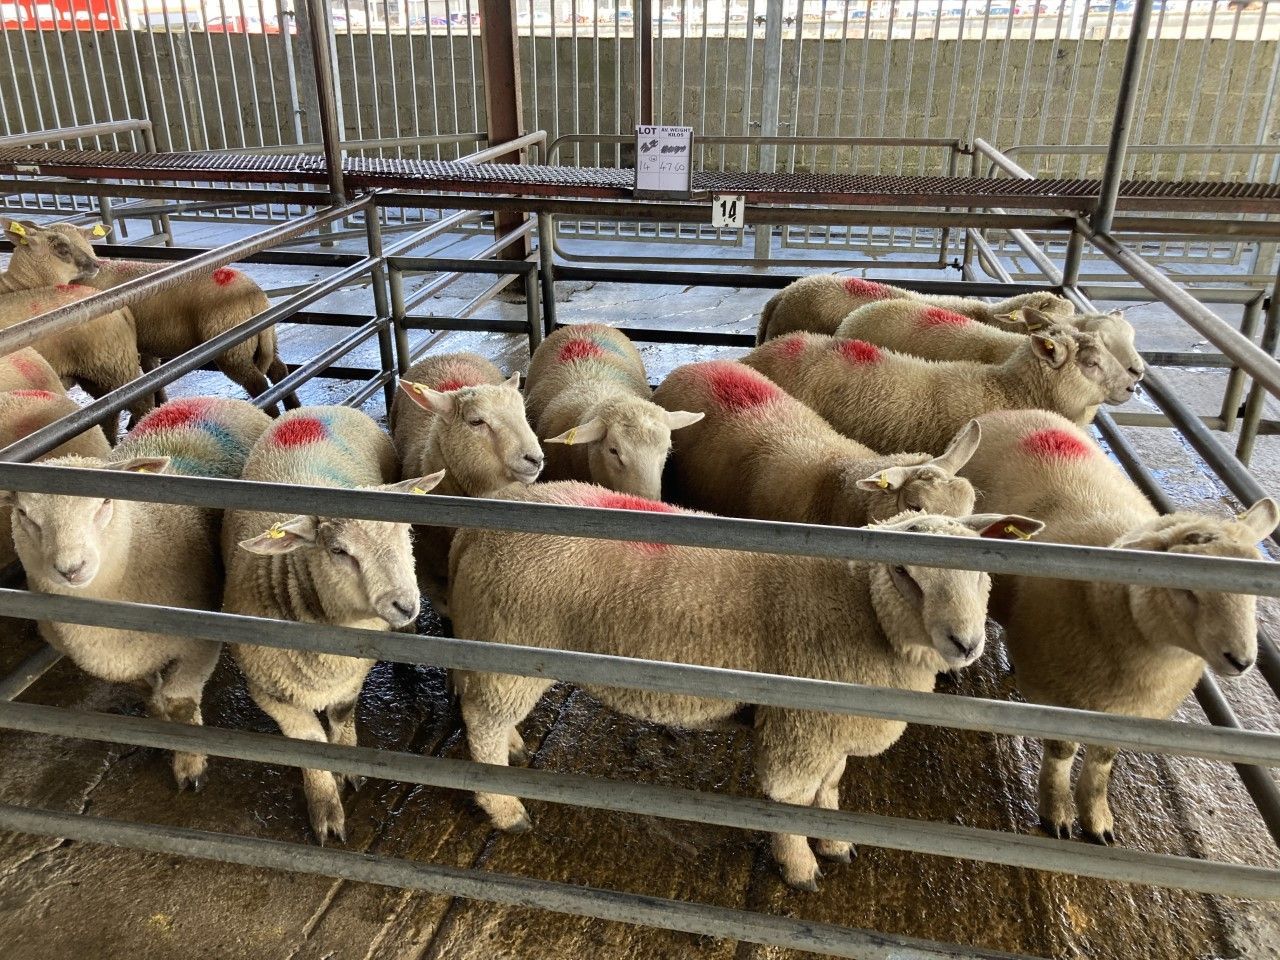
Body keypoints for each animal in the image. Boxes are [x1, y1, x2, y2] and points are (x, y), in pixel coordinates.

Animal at [2, 217, 297, 414]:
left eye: (84, 243)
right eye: (62, 248)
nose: (94, 265)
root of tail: (254, 294)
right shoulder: (144, 346)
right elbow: (153, 380)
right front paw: (157, 407)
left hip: (232, 346)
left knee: (258, 383)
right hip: (263, 339)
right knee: (279, 370)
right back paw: (293, 406)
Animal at [2, 396, 273, 790]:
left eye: (104, 502)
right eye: (23, 514)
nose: (71, 568)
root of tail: (207, 398)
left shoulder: (199, 643)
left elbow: (178, 702)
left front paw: (190, 764)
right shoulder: (126, 659)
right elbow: (151, 696)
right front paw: (162, 737)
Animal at [223, 405, 442, 843]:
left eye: (407, 532)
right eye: (340, 551)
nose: (406, 605)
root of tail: (313, 408)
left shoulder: (351, 678)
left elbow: (341, 718)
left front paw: (346, 769)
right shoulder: (268, 692)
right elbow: (309, 742)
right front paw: (325, 807)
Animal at [449, 479, 1043, 889]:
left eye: (985, 569)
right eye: (904, 572)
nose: (967, 643)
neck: (860, 609)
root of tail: (474, 526)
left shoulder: (830, 729)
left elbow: (829, 788)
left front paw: (834, 843)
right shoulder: (801, 727)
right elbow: (790, 799)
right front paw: (801, 869)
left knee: (487, 714)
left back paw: (515, 753)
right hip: (508, 646)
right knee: (481, 725)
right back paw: (505, 809)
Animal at [959, 409, 1279, 844]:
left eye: (1256, 590)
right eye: (1186, 588)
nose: (1242, 660)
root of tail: (1014, 412)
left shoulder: (1130, 714)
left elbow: (1102, 762)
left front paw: (1097, 819)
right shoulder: (1055, 695)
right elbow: (1061, 753)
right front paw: (1056, 812)